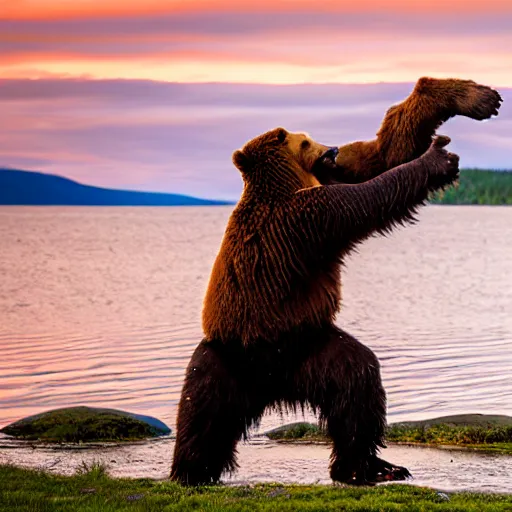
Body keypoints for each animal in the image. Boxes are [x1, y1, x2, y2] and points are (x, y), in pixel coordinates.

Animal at [171, 76, 500, 484]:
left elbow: (385, 152)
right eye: (304, 140)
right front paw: (438, 158)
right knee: (202, 414)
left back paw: (372, 465)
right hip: (228, 355)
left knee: (355, 387)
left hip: (310, 349)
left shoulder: (329, 181)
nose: (333, 149)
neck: (289, 182)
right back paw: (191, 472)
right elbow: (370, 194)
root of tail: (273, 382)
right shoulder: (311, 216)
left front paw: (476, 97)